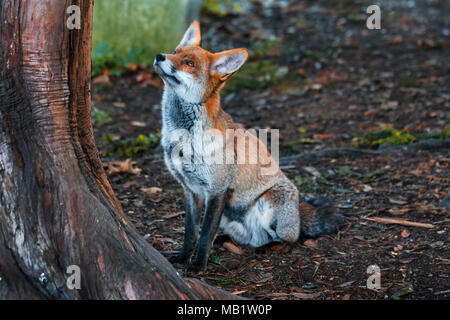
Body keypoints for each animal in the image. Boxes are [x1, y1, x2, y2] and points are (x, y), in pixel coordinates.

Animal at [153, 20, 342, 270]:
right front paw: (183, 257)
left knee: (289, 240)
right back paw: (230, 241)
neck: (183, 138)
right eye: (175, 52)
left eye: (189, 63)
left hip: (269, 202)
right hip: (229, 217)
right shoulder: (190, 190)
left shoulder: (217, 190)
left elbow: (204, 234)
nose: (159, 55)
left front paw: (198, 265)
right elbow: (191, 232)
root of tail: (298, 213)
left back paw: (266, 248)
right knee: (245, 237)